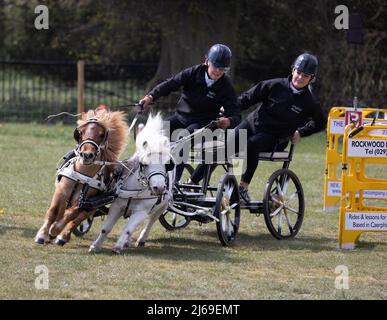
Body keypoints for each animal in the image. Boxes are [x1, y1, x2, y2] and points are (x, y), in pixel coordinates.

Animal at [34, 107, 129, 245]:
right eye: (81, 132)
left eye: (101, 134)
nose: (87, 155)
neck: (83, 175)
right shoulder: (61, 191)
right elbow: (53, 210)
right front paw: (42, 234)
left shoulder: (86, 202)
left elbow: (71, 215)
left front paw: (55, 230)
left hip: (93, 207)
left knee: (77, 219)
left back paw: (63, 236)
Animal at [88, 114, 175, 254]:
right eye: (145, 164)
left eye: (167, 164)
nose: (160, 187)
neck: (135, 190)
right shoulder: (116, 206)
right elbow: (105, 228)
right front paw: (95, 246)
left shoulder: (141, 212)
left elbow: (128, 229)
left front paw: (117, 247)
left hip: (162, 206)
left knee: (151, 221)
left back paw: (141, 239)